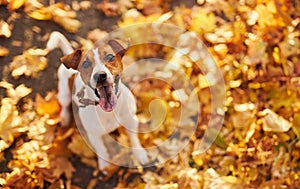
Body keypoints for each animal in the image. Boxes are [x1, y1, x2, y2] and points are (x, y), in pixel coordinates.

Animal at [46, 31, 149, 171]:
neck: (109, 112)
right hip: (64, 94)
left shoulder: (131, 120)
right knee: (65, 106)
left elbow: (134, 138)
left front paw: (139, 153)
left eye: (110, 57)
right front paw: (104, 165)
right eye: (85, 64)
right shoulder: (93, 135)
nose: (100, 76)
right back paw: (65, 117)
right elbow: (101, 149)